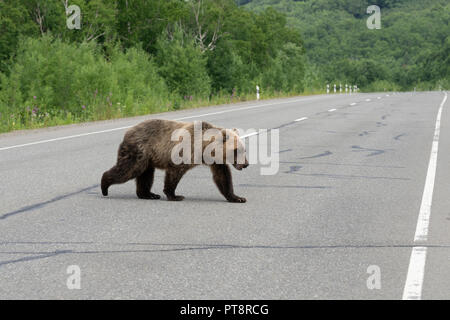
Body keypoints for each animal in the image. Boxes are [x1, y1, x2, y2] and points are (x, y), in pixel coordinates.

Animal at [101, 119, 248, 204]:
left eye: (244, 149)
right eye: (236, 150)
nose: (246, 164)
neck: (205, 148)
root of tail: (128, 131)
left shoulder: (215, 160)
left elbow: (223, 177)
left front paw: (238, 198)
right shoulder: (184, 151)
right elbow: (175, 173)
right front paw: (175, 195)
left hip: (147, 158)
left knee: (146, 175)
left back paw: (149, 194)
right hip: (139, 151)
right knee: (128, 169)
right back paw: (104, 186)